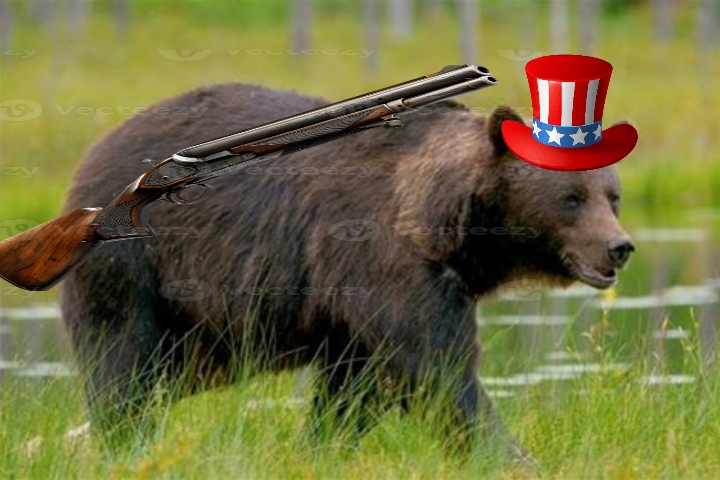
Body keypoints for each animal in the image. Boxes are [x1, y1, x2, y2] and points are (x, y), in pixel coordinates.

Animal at [60, 82, 635, 459]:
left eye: (612, 196)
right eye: (570, 198)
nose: (620, 247)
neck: (444, 228)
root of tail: (95, 150)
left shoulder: (353, 308)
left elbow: (354, 390)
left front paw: (322, 446)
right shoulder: (385, 263)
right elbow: (438, 370)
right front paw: (509, 455)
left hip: (195, 327)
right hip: (139, 273)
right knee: (122, 362)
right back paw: (118, 439)